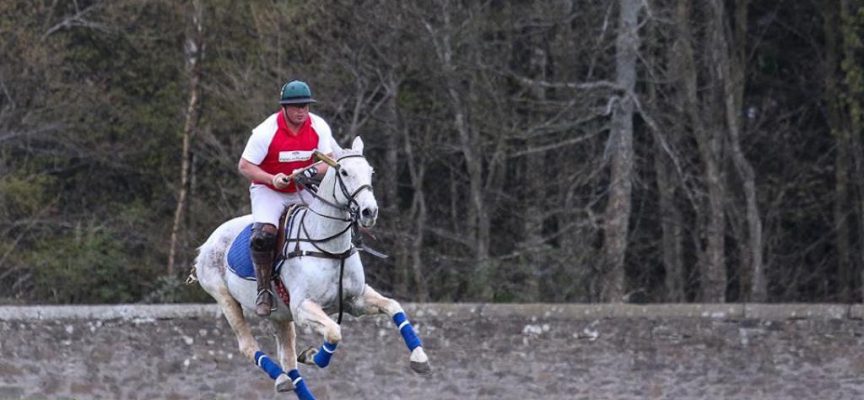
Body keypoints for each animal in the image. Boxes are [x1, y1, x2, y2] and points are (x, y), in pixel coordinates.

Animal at [192, 136, 428, 398]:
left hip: (280, 314)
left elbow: (394, 306)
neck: (330, 247)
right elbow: (334, 331)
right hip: (225, 298)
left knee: (288, 357)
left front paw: (420, 359)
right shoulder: (303, 307)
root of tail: (206, 244)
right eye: (344, 172)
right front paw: (314, 355)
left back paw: (287, 381)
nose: (369, 212)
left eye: (370, 171)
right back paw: (281, 377)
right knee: (248, 345)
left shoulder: (355, 299)